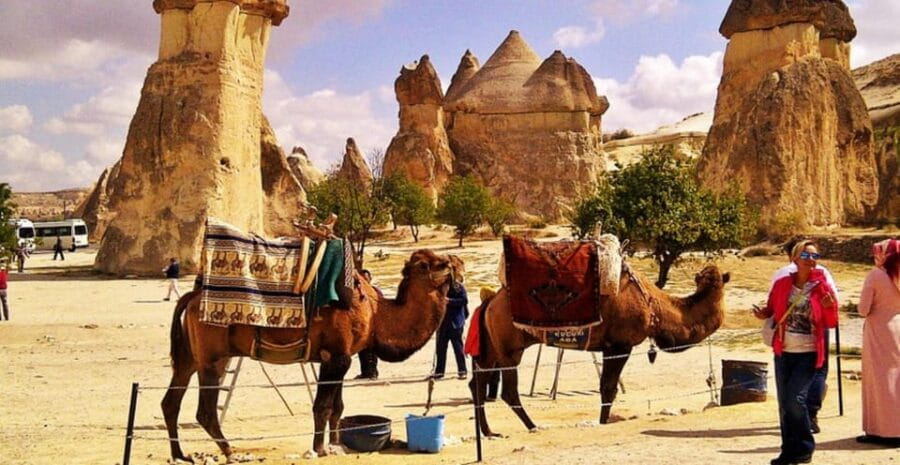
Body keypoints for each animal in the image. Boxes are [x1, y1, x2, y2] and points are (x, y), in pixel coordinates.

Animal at [162, 249, 460, 461]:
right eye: (427, 264)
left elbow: (338, 407)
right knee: (205, 410)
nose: (454, 262)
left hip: (191, 357)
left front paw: (336, 443)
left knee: (171, 401)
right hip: (212, 358)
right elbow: (323, 406)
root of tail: (191, 298)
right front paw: (320, 448)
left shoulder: (343, 356)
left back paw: (180, 455)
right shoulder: (334, 357)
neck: (375, 312)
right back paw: (230, 452)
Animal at [469, 263, 730, 436]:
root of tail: (489, 301)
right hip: (510, 348)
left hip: (492, 347)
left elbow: (607, 388)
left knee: (477, 382)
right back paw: (532, 426)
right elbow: (608, 389)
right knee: (508, 391)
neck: (653, 307)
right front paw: (604, 423)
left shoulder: (609, 347)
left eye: (716, 280)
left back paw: (489, 432)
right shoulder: (619, 345)